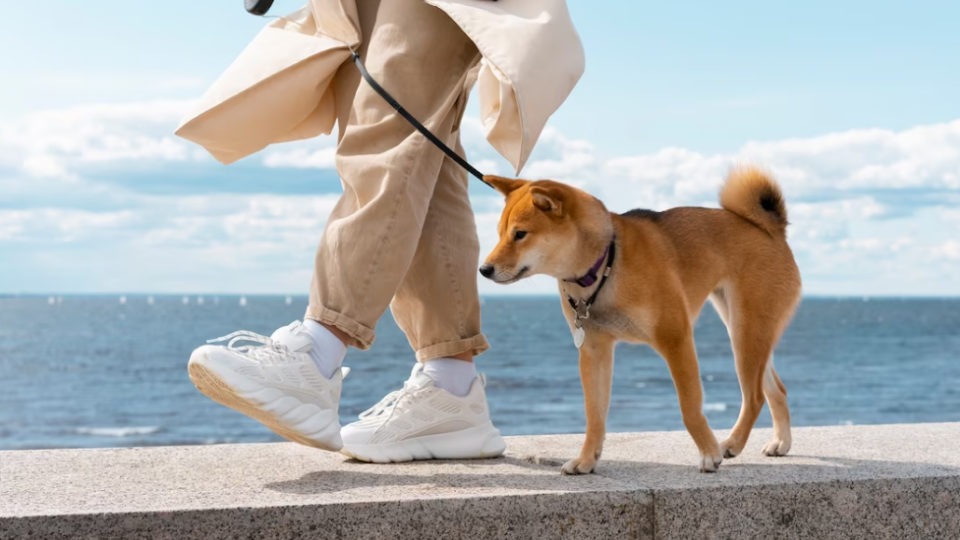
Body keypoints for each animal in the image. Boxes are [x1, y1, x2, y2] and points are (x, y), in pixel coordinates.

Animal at [480, 168, 804, 472]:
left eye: (520, 234)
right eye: (499, 232)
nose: (484, 269)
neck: (606, 264)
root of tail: (771, 229)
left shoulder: (676, 339)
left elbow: (689, 407)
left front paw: (708, 454)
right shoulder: (594, 350)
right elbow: (594, 415)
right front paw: (586, 460)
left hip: (745, 332)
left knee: (755, 396)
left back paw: (732, 444)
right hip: (747, 331)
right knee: (777, 389)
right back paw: (780, 442)